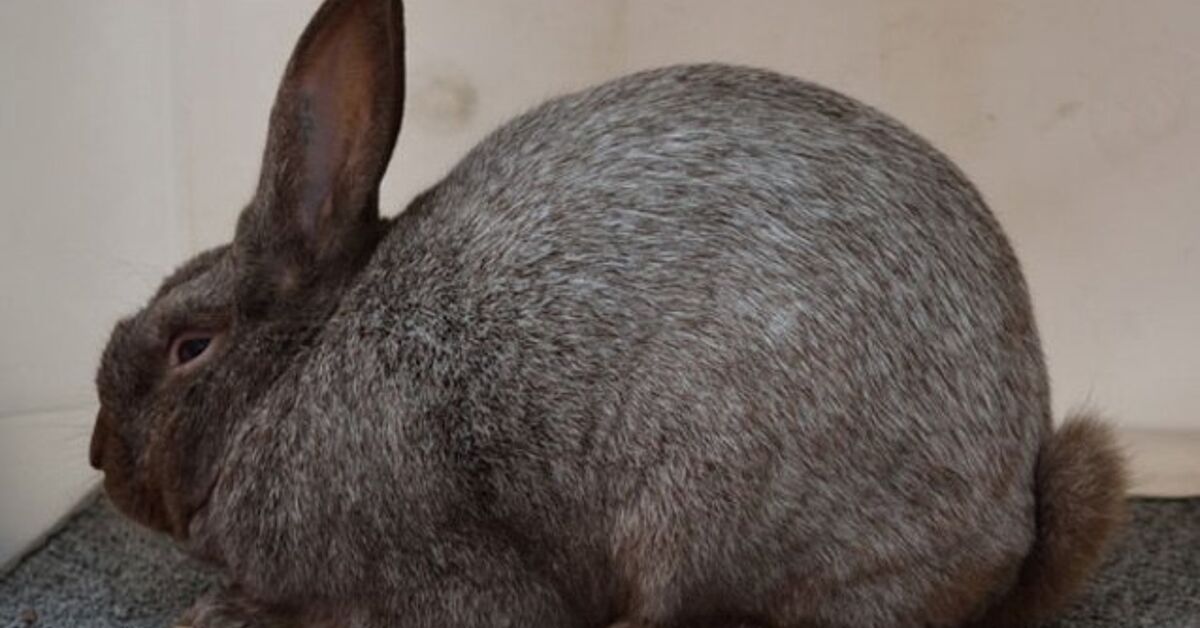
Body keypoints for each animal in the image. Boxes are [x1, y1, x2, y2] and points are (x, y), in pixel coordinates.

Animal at [89, 0, 1127, 626]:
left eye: (190, 347)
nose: (100, 458)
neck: (295, 375)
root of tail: (1011, 526)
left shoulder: (435, 570)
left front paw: (224, 612)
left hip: (701, 510)